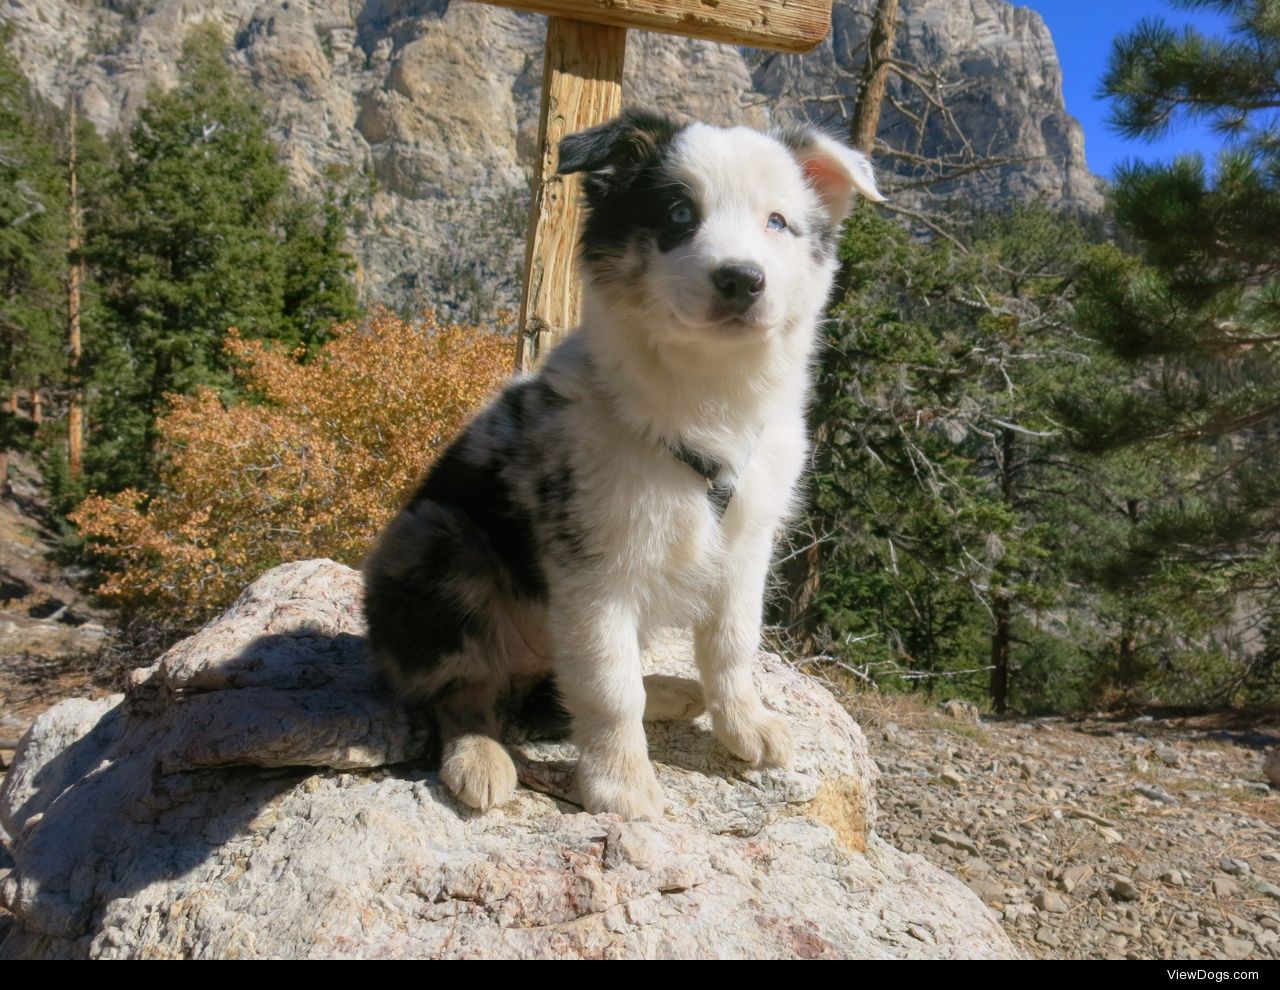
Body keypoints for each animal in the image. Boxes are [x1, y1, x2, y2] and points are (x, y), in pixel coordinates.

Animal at [360, 110, 880, 819]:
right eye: (679, 213)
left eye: (777, 221)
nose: (742, 279)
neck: (706, 395)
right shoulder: (593, 568)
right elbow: (610, 689)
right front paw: (622, 785)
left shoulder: (747, 543)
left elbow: (732, 642)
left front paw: (744, 724)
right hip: (436, 545)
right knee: (465, 689)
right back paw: (479, 756)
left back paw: (671, 691)